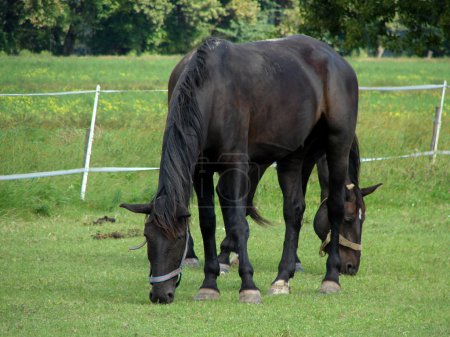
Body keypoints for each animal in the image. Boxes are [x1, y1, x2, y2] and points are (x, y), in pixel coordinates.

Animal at [121, 35, 360, 304]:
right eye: (147, 237)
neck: (213, 91)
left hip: (337, 146)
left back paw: (331, 278)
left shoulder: (236, 165)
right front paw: (209, 284)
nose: (161, 294)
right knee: (293, 211)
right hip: (294, 155)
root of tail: (338, 61)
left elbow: (237, 223)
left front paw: (248, 285)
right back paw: (282, 278)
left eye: (179, 238)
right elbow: (208, 222)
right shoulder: (200, 170)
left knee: (335, 207)